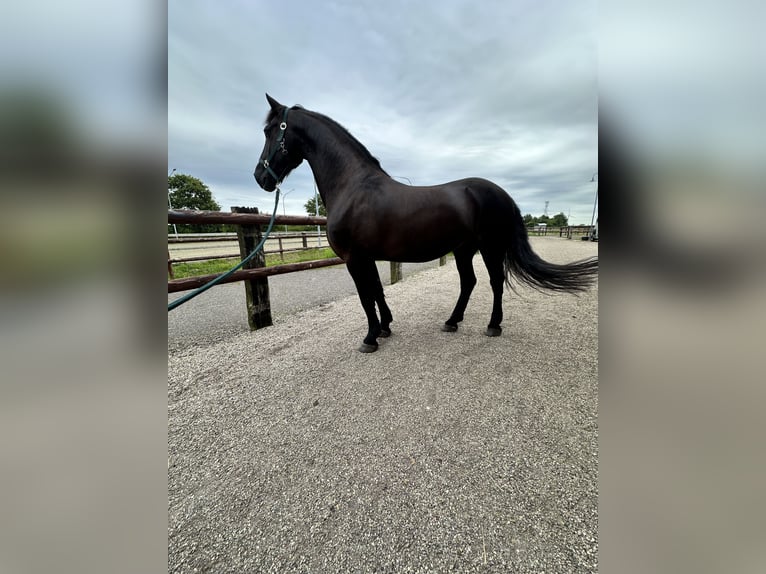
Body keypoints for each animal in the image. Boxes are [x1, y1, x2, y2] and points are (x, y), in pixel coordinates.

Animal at [254, 95, 600, 352]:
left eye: (270, 130)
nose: (260, 178)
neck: (353, 186)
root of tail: (502, 193)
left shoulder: (355, 258)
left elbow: (366, 296)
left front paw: (370, 338)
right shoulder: (368, 257)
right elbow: (377, 291)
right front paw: (385, 327)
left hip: (489, 247)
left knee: (495, 282)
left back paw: (493, 325)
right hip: (464, 250)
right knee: (469, 282)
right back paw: (452, 321)